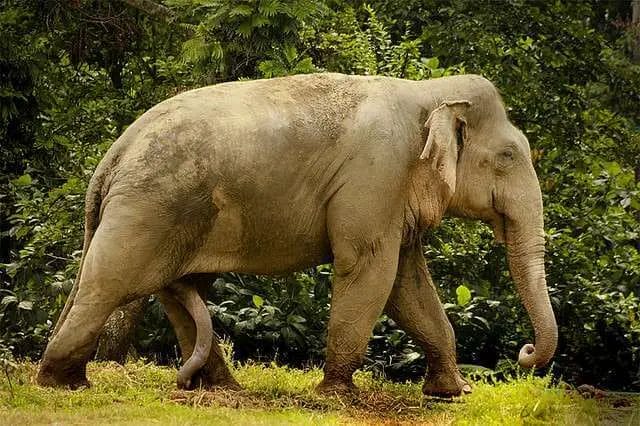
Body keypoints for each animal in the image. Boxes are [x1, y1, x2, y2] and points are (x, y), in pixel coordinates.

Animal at [36, 72, 557, 397]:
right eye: (508, 156)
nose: (526, 353)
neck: (429, 93)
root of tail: (114, 153)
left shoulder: (393, 191)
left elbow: (408, 284)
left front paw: (452, 392)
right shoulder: (377, 174)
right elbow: (370, 268)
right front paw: (334, 394)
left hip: (174, 212)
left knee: (179, 289)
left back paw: (218, 387)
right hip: (149, 205)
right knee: (109, 284)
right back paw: (63, 383)